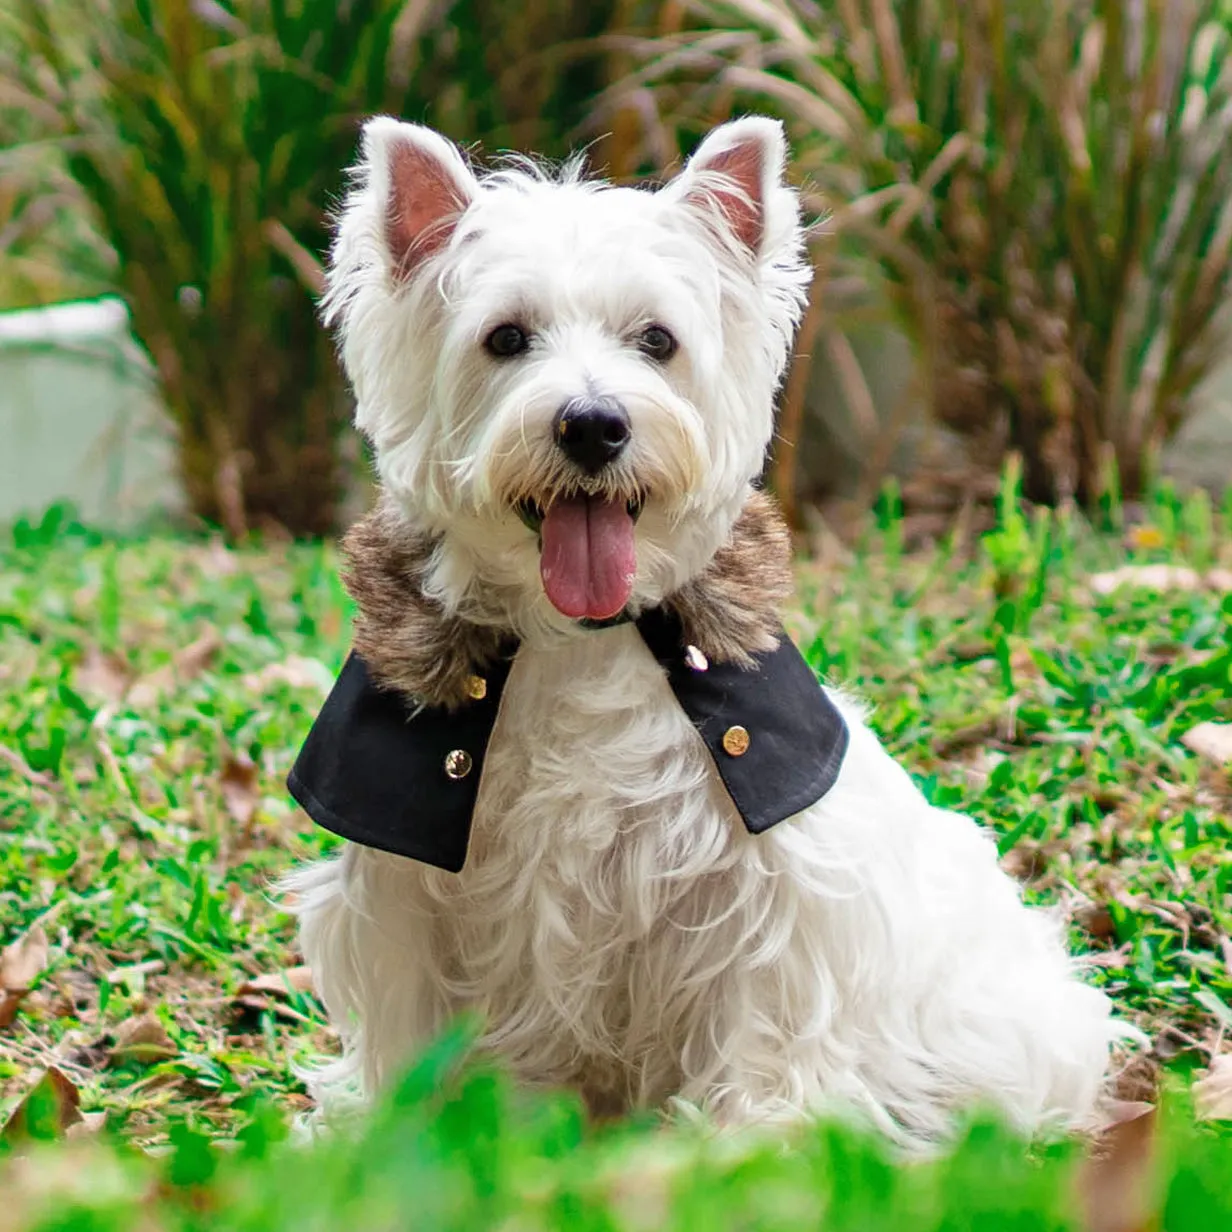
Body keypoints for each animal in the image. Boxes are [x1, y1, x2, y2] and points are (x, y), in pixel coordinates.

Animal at [283, 115, 1128, 1143]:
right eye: (505, 337)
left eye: (657, 339)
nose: (594, 426)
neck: (579, 638)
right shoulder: (410, 893)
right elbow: (416, 1031)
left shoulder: (766, 893)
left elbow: (763, 1025)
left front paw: (747, 1150)